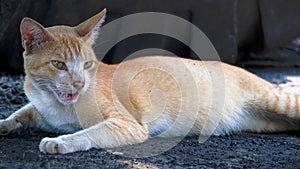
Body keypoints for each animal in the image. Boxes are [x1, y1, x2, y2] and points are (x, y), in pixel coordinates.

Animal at [0, 8, 300, 154]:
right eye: (59, 65)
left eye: (87, 65)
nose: (79, 84)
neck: (55, 105)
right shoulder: (38, 109)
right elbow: (21, 113)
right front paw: (5, 123)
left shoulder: (127, 125)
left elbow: (88, 133)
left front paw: (62, 141)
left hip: (279, 101)